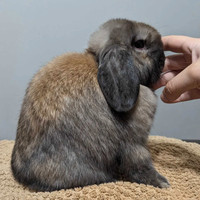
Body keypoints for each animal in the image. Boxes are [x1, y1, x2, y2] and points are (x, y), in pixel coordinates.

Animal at [10, 19, 170, 192]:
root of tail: (27, 178)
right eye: (139, 44)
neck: (97, 61)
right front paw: (162, 183)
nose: (163, 60)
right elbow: (140, 164)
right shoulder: (134, 144)